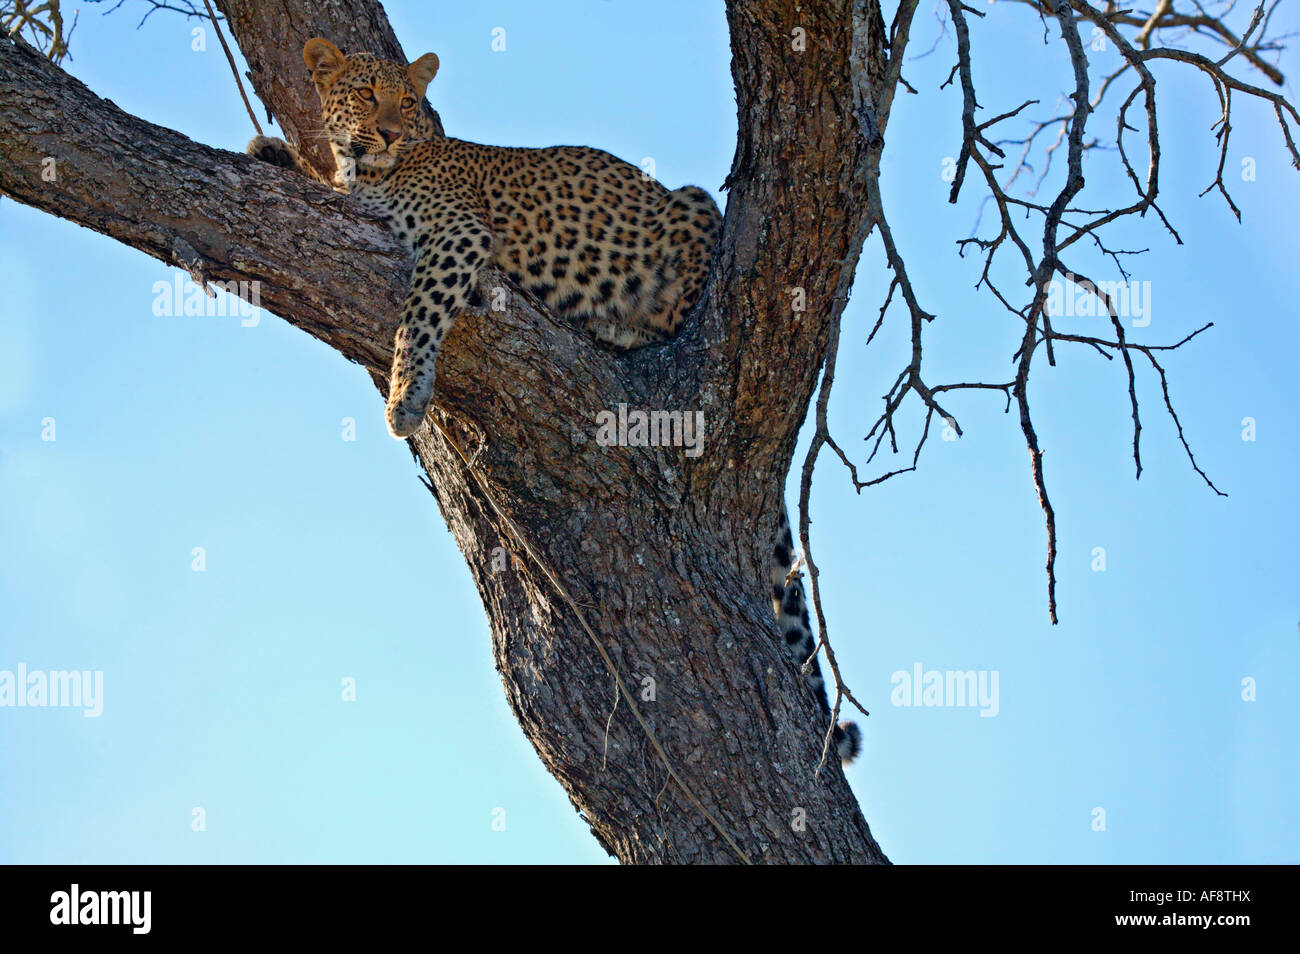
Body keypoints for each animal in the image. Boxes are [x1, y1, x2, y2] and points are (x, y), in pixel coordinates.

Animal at [249, 39, 863, 769]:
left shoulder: (457, 235)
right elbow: (322, 183)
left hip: (688, 208)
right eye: (368, 94)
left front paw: (406, 396)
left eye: (408, 100)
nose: (392, 133)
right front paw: (272, 152)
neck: (374, 170)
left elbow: (418, 311)